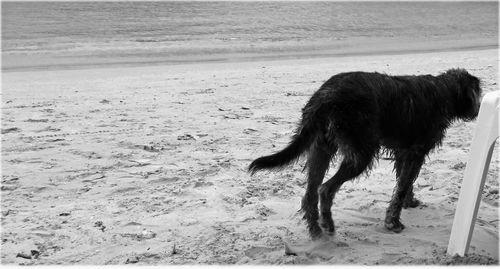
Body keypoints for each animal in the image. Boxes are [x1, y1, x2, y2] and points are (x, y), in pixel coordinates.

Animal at [248, 68, 482, 238]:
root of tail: (325, 95)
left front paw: (409, 202)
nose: (478, 110)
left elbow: (404, 184)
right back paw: (327, 224)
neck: (443, 92)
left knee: (310, 193)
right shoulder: (416, 153)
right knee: (325, 189)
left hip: (321, 147)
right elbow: (402, 187)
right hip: (361, 153)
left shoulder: (403, 152)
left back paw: (315, 230)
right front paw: (393, 222)